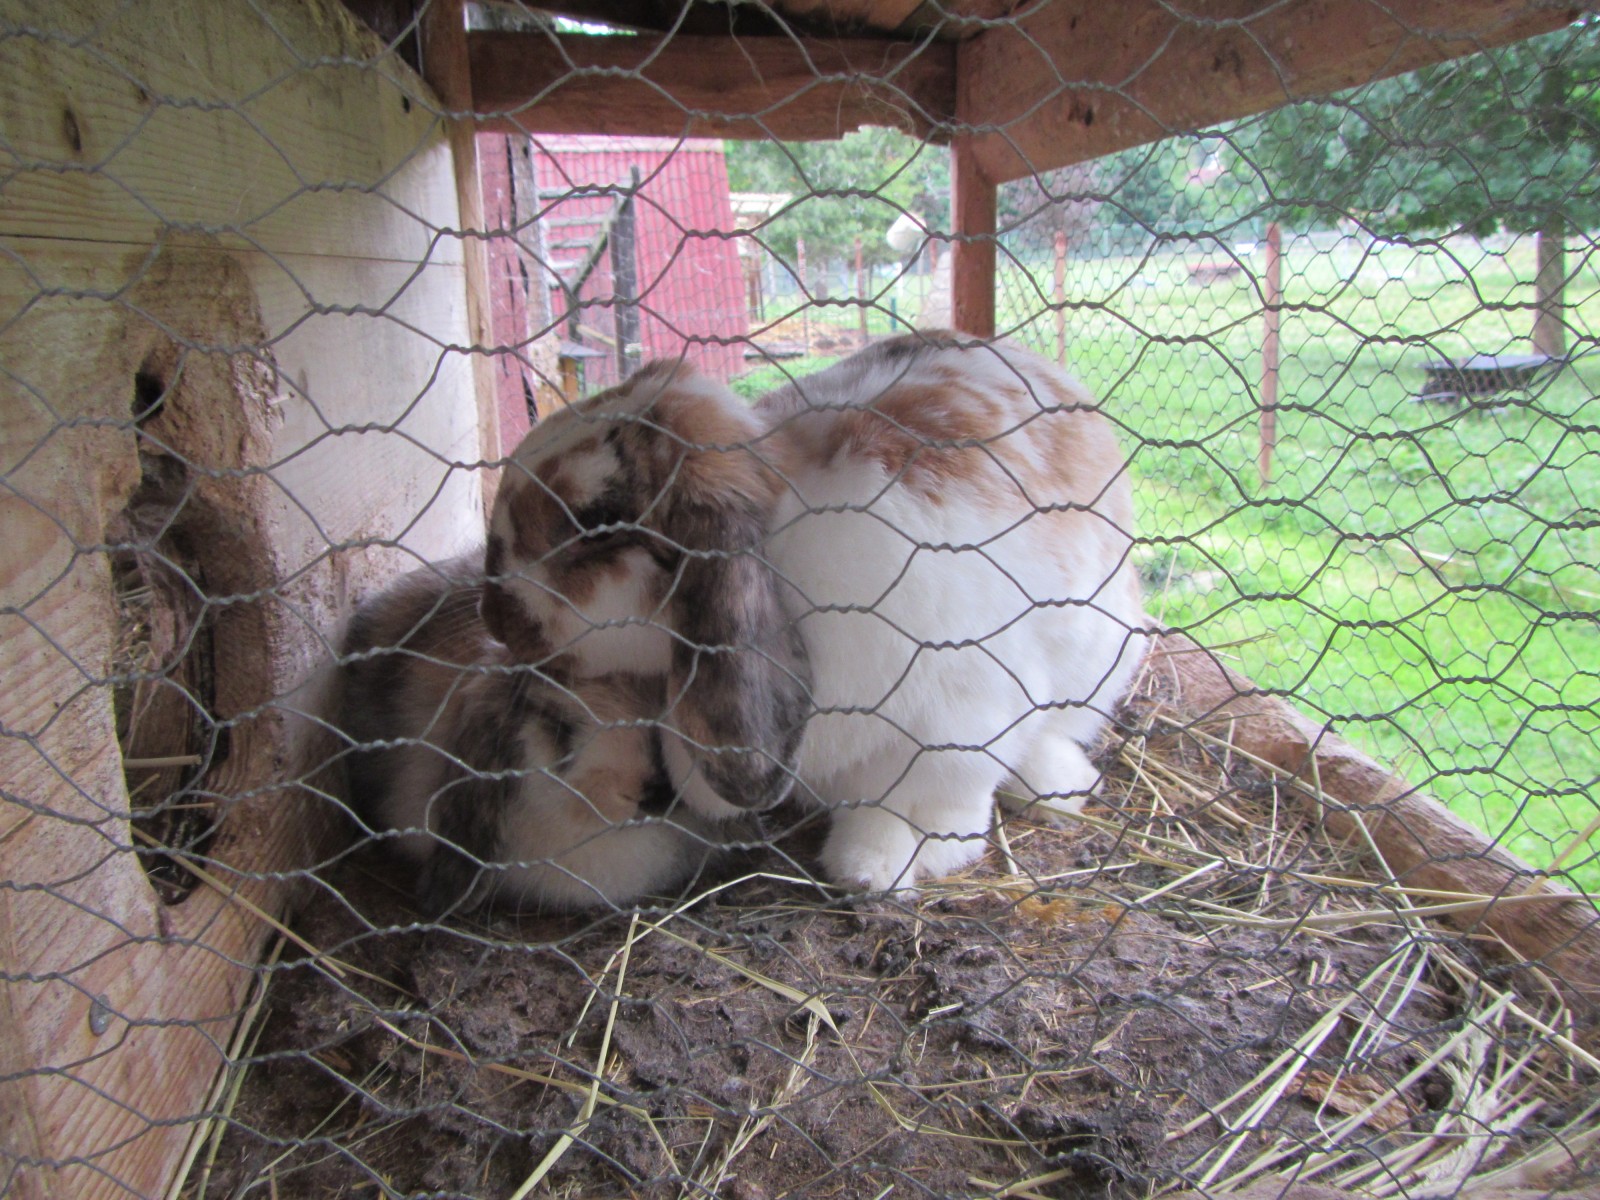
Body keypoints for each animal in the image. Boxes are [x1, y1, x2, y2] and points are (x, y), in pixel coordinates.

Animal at [755, 333, 1149, 892]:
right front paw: (867, 870)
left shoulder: (959, 721)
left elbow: (931, 804)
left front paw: (897, 863)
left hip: (1099, 656)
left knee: (1051, 733)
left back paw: (1058, 791)